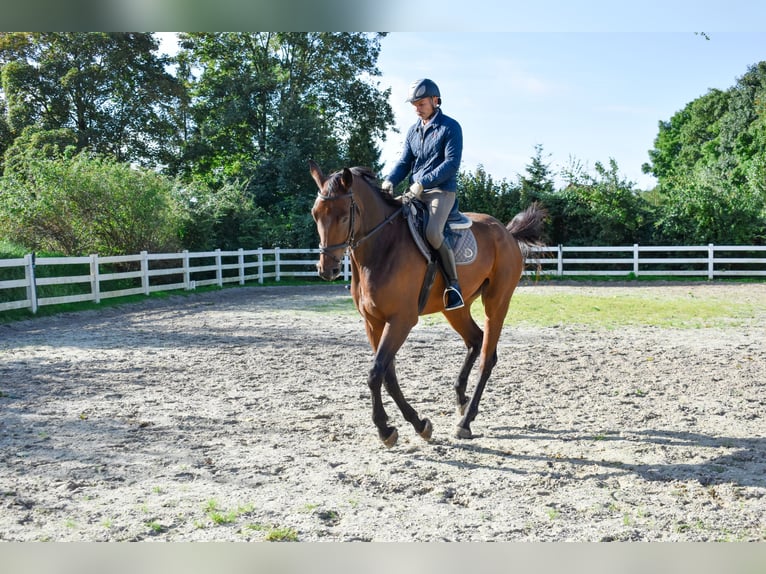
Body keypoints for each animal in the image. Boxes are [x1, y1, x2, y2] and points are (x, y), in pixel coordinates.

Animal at [309, 160, 547, 448]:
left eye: (344, 216)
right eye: (316, 214)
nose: (327, 269)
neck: (381, 248)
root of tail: (506, 232)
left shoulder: (401, 321)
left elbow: (375, 373)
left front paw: (386, 429)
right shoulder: (373, 322)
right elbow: (387, 375)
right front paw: (415, 424)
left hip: (497, 302)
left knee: (487, 357)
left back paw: (465, 422)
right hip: (455, 309)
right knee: (475, 340)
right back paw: (461, 400)